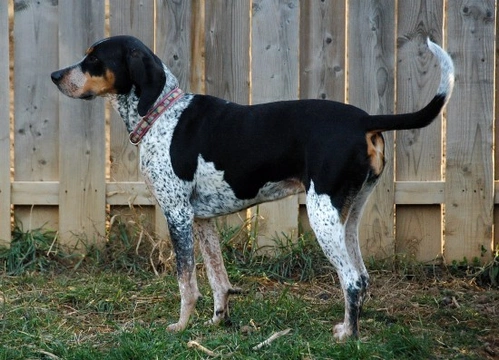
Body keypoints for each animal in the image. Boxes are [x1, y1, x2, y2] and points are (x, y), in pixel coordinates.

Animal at [50, 36, 454, 340]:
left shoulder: (176, 214)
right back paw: (347, 326)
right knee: (362, 276)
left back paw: (347, 337)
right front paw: (218, 320)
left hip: (322, 215)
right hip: (348, 217)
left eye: (94, 58)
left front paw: (181, 326)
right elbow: (218, 279)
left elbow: (186, 281)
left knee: (352, 279)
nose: (54, 75)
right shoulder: (201, 220)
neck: (162, 112)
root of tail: (365, 119)